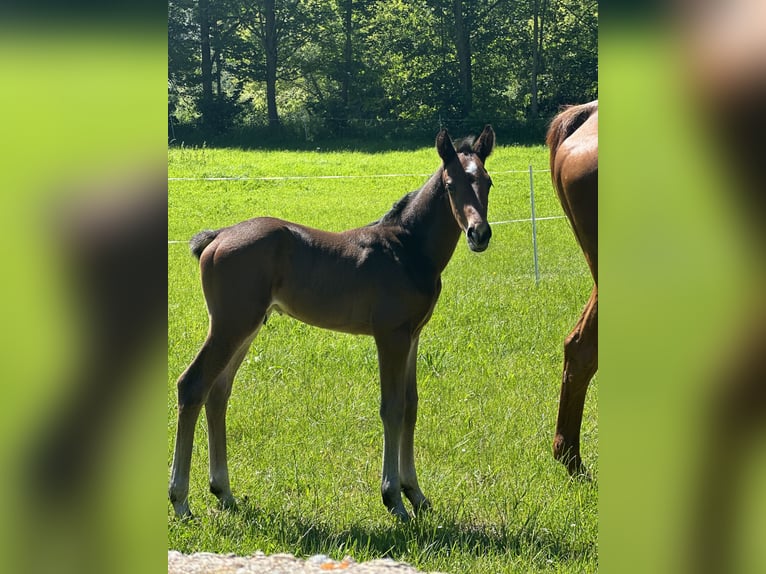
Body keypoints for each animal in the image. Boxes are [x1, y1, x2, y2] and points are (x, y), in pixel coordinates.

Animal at [169, 125, 496, 521]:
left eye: (488, 182)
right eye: (450, 184)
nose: (479, 234)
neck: (406, 248)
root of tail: (216, 237)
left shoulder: (413, 336)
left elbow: (412, 406)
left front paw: (416, 494)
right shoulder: (391, 336)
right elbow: (392, 408)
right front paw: (394, 499)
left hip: (245, 328)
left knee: (217, 393)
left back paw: (224, 492)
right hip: (230, 326)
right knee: (192, 386)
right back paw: (181, 500)